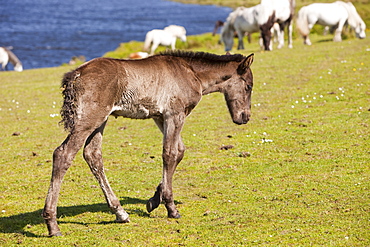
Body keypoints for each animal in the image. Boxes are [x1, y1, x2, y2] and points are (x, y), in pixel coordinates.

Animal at [41, 50, 254, 237]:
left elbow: (179, 151)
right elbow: (169, 153)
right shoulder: (175, 114)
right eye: (248, 86)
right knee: (63, 153)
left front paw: (154, 200)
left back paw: (120, 212)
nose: (245, 117)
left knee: (93, 155)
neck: (191, 72)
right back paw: (53, 225)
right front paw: (171, 207)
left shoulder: (160, 117)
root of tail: (76, 74)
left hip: (100, 120)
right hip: (90, 118)